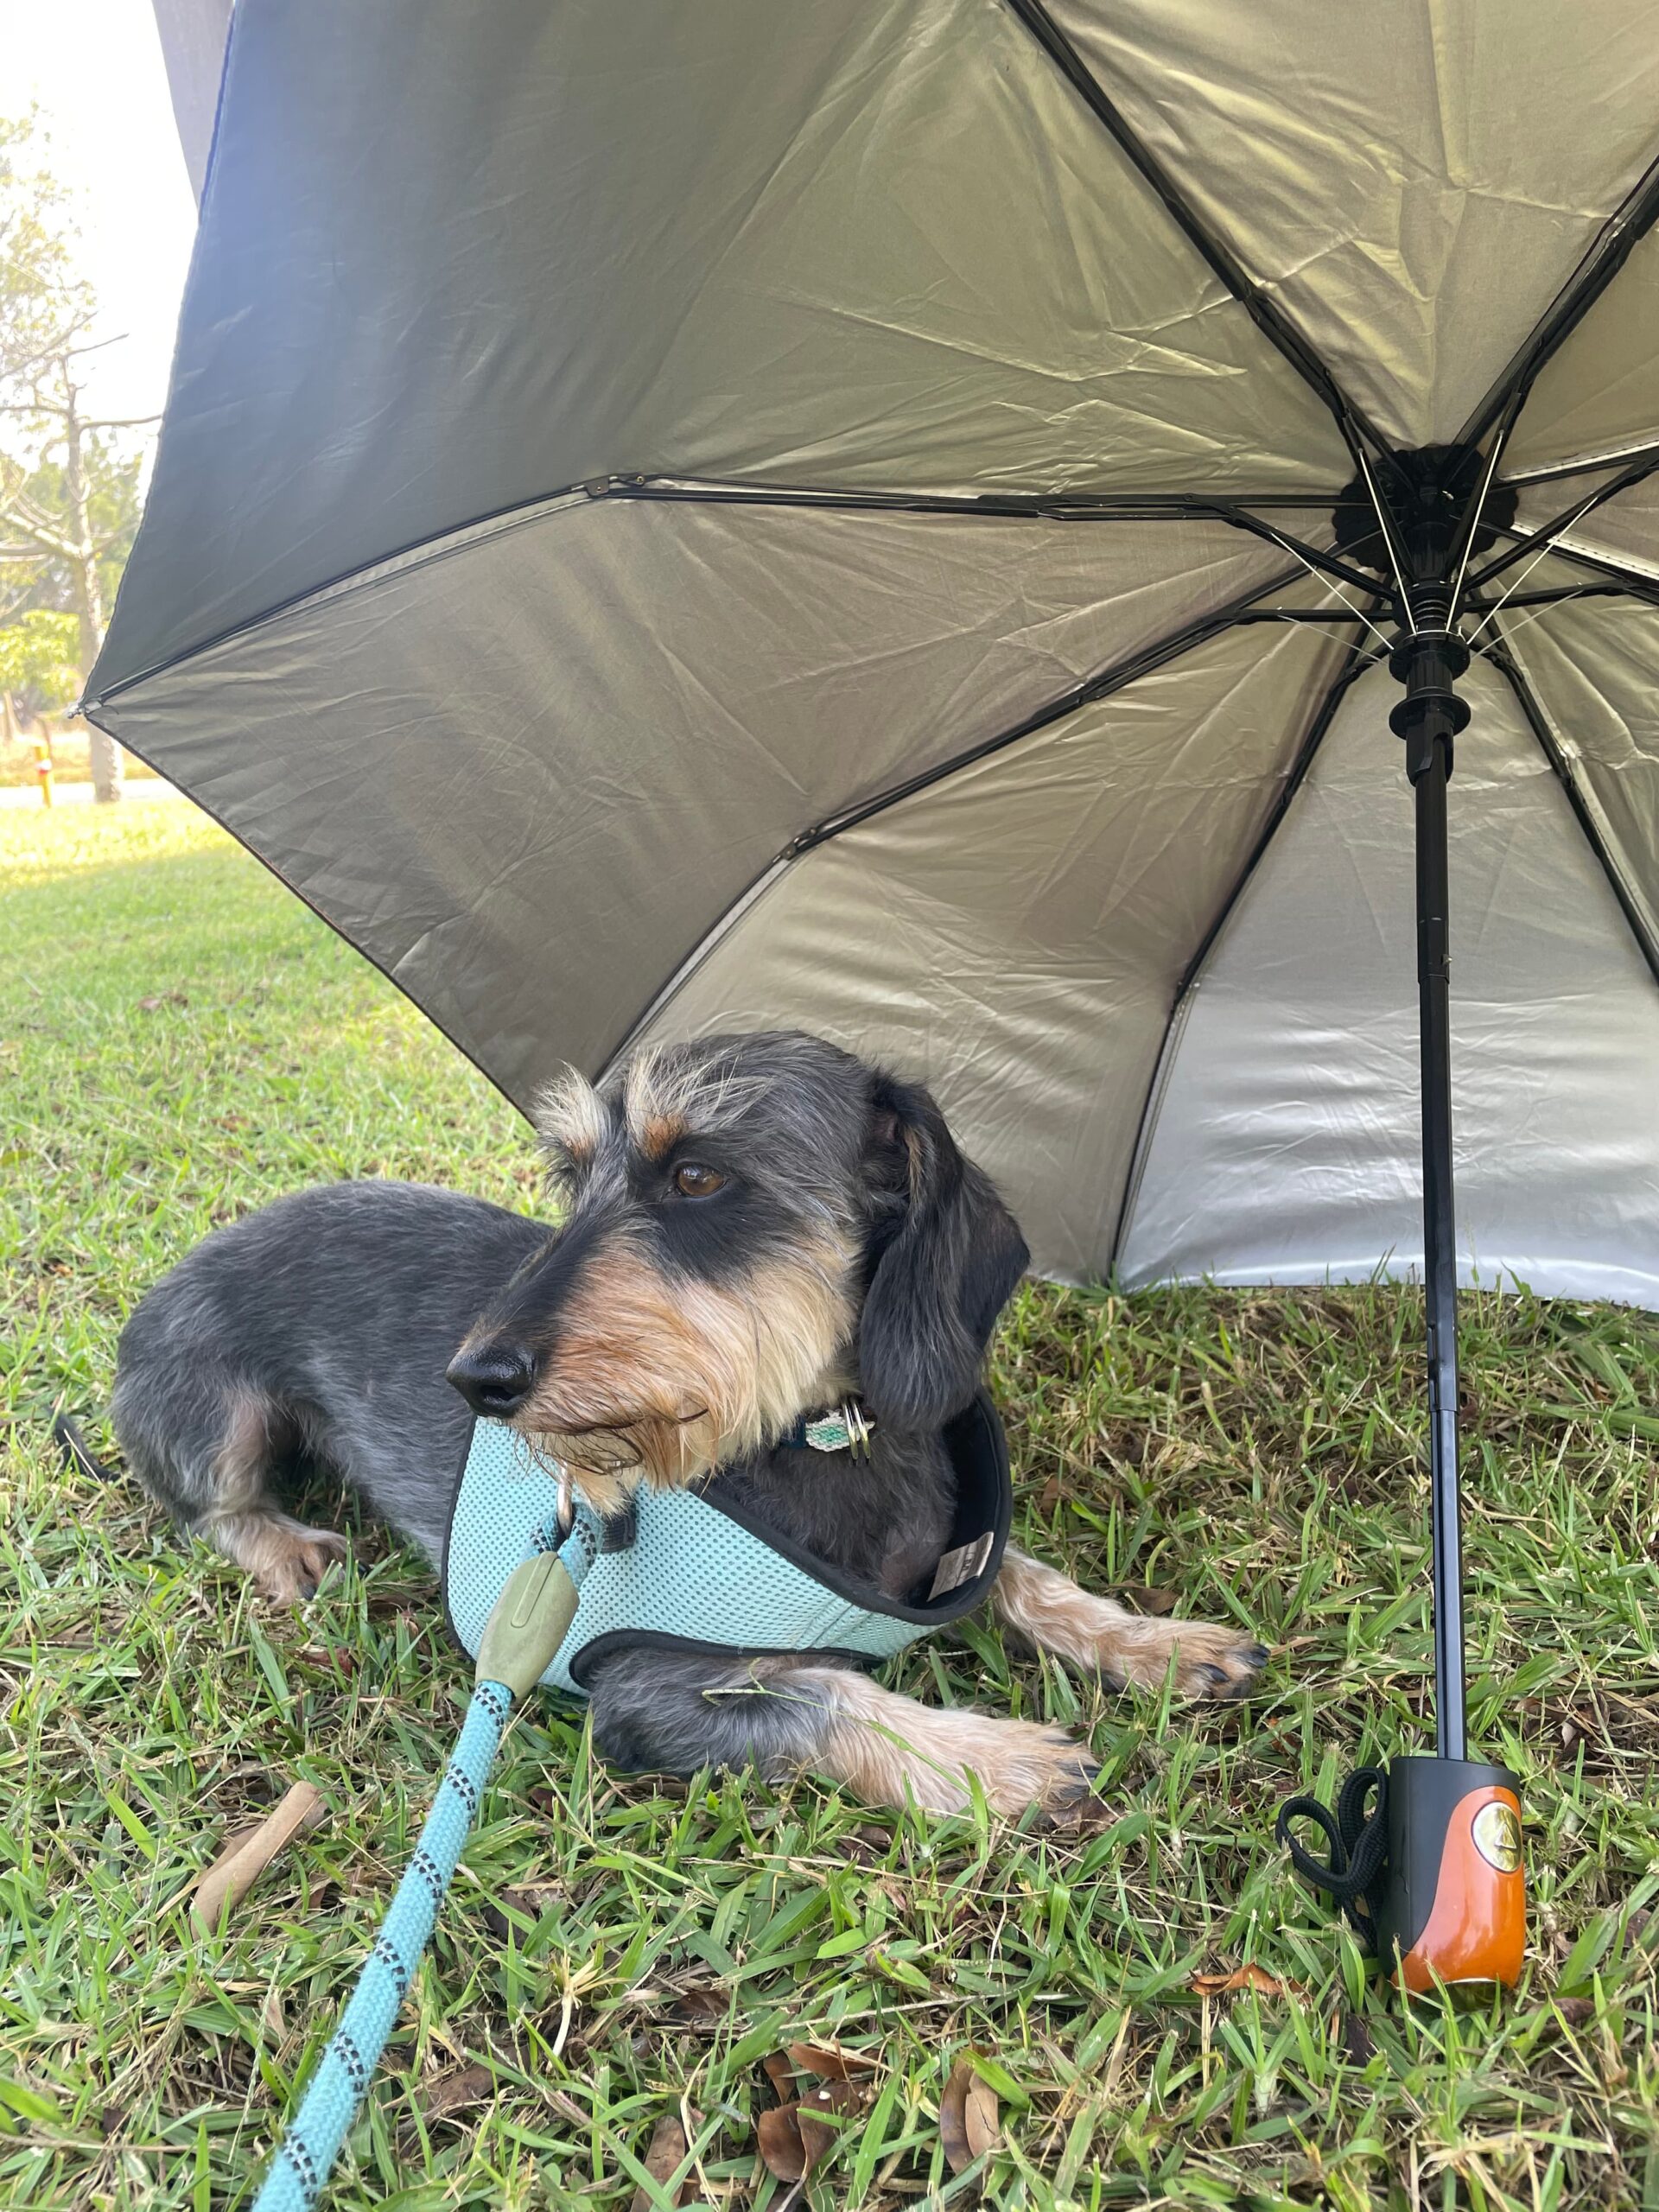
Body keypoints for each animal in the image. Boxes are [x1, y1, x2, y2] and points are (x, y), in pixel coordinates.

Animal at [111, 1030, 1265, 1814]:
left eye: (698, 1173)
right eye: (575, 1177)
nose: (473, 1378)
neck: (817, 1435)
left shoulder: (936, 1559)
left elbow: (1025, 1574)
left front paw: (1160, 1645)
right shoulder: (640, 1691)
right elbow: (830, 1698)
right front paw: (999, 1760)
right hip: (218, 1412)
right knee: (208, 1507)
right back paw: (285, 1547)